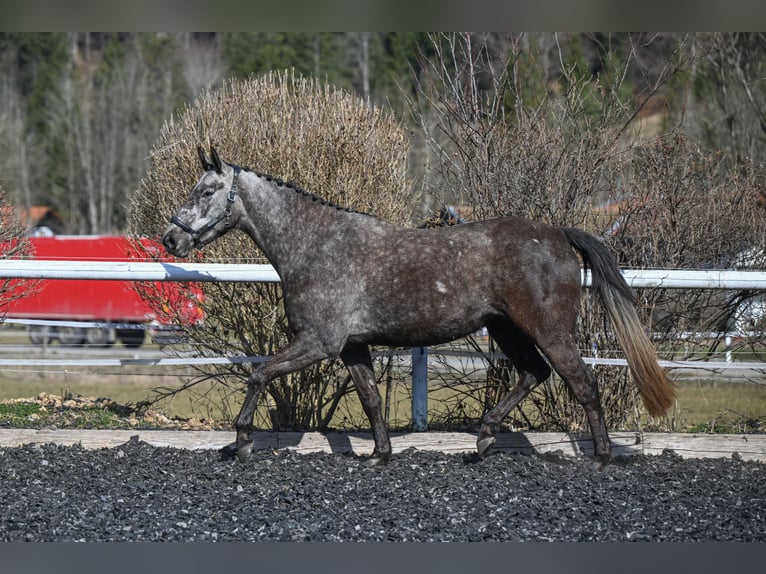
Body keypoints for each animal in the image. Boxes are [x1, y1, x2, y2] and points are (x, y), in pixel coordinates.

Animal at [162, 146, 676, 466]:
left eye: (205, 191)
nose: (170, 238)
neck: (315, 244)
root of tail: (559, 235)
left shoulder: (319, 342)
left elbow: (258, 374)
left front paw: (243, 442)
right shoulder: (352, 347)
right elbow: (370, 399)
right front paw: (379, 455)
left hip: (549, 330)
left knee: (582, 382)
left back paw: (601, 458)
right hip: (506, 329)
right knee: (535, 373)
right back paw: (484, 438)